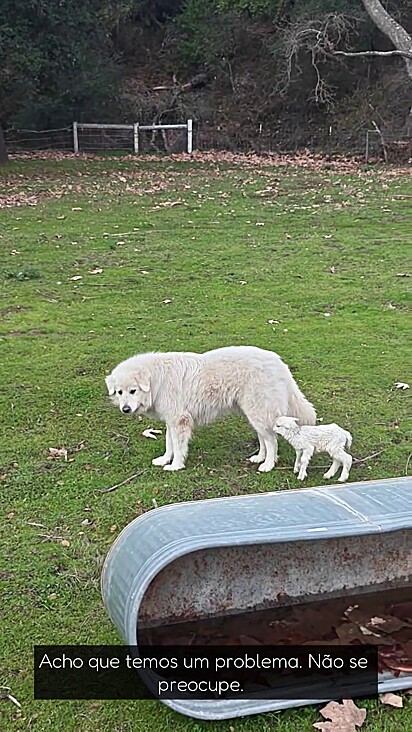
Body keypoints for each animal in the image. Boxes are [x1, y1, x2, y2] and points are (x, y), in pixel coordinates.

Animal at [105, 346, 316, 472]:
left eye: (133, 390)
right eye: (120, 392)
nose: (125, 409)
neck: (157, 379)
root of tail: (278, 362)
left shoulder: (179, 420)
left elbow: (178, 447)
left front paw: (176, 466)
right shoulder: (171, 421)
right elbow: (169, 443)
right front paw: (165, 460)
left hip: (259, 411)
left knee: (272, 441)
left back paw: (268, 465)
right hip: (254, 413)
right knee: (264, 438)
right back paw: (259, 458)